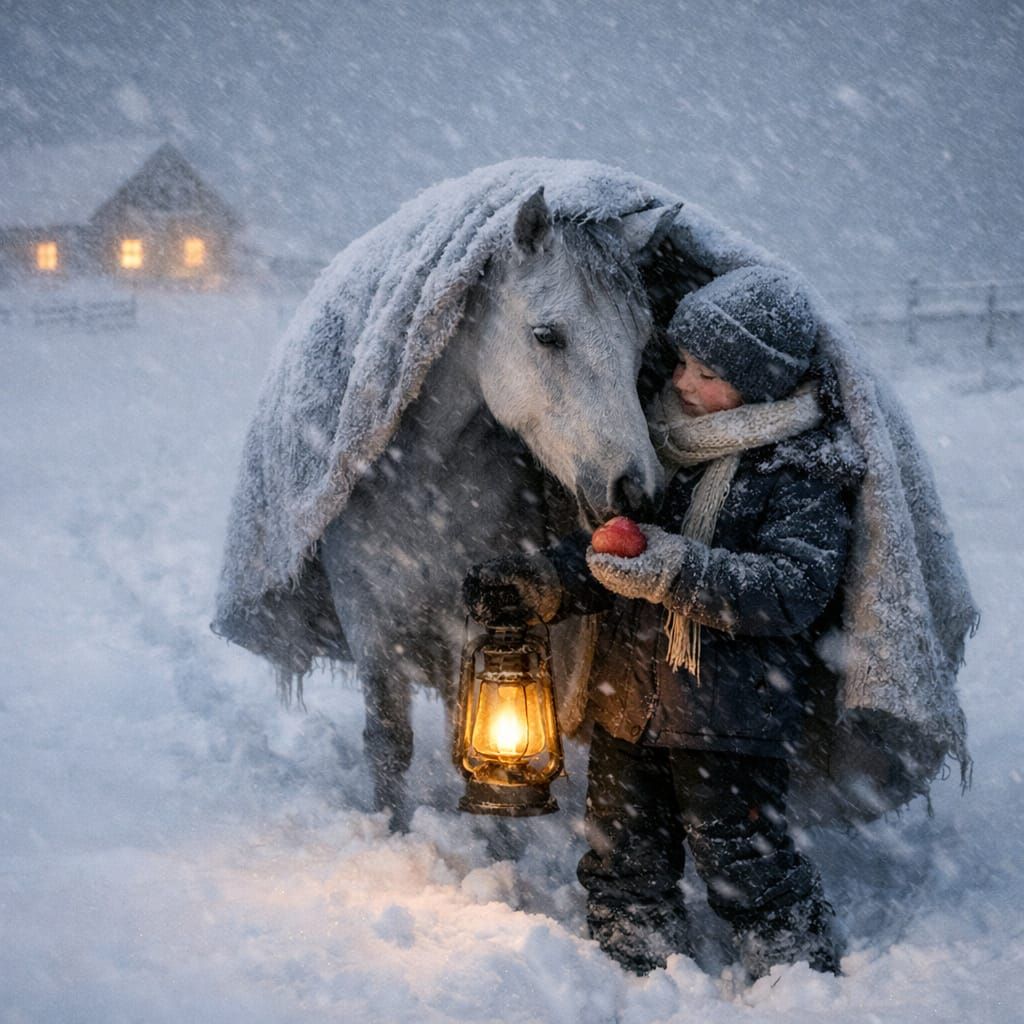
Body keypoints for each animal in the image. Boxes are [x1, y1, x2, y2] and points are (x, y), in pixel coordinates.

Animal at [318, 189, 665, 827]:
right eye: (547, 335)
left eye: (641, 345)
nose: (639, 490)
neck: (420, 485)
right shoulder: (369, 625)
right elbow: (389, 745)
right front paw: (392, 836)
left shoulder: (481, 621)